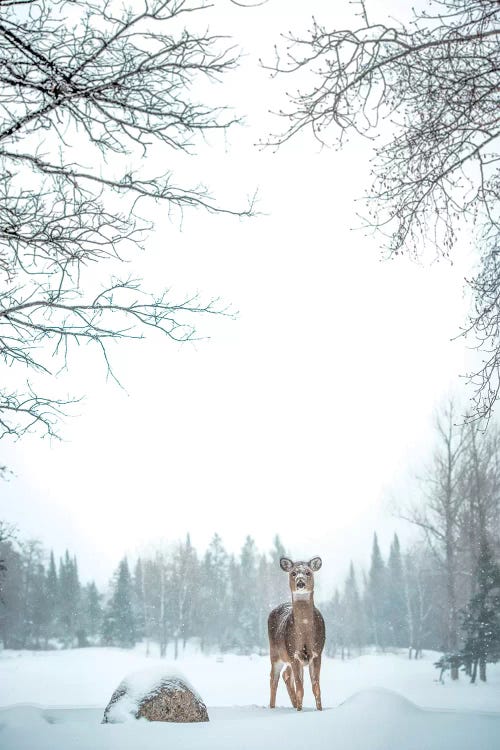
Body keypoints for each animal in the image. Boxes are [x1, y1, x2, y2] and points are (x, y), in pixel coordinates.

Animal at [268, 560, 326, 712]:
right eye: (293, 573)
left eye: (308, 572)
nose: (300, 582)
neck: (304, 634)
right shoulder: (293, 654)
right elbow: (300, 687)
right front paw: (300, 711)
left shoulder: (317, 653)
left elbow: (316, 687)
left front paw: (320, 710)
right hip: (275, 653)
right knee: (273, 678)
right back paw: (272, 707)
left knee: (286, 675)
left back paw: (294, 704)